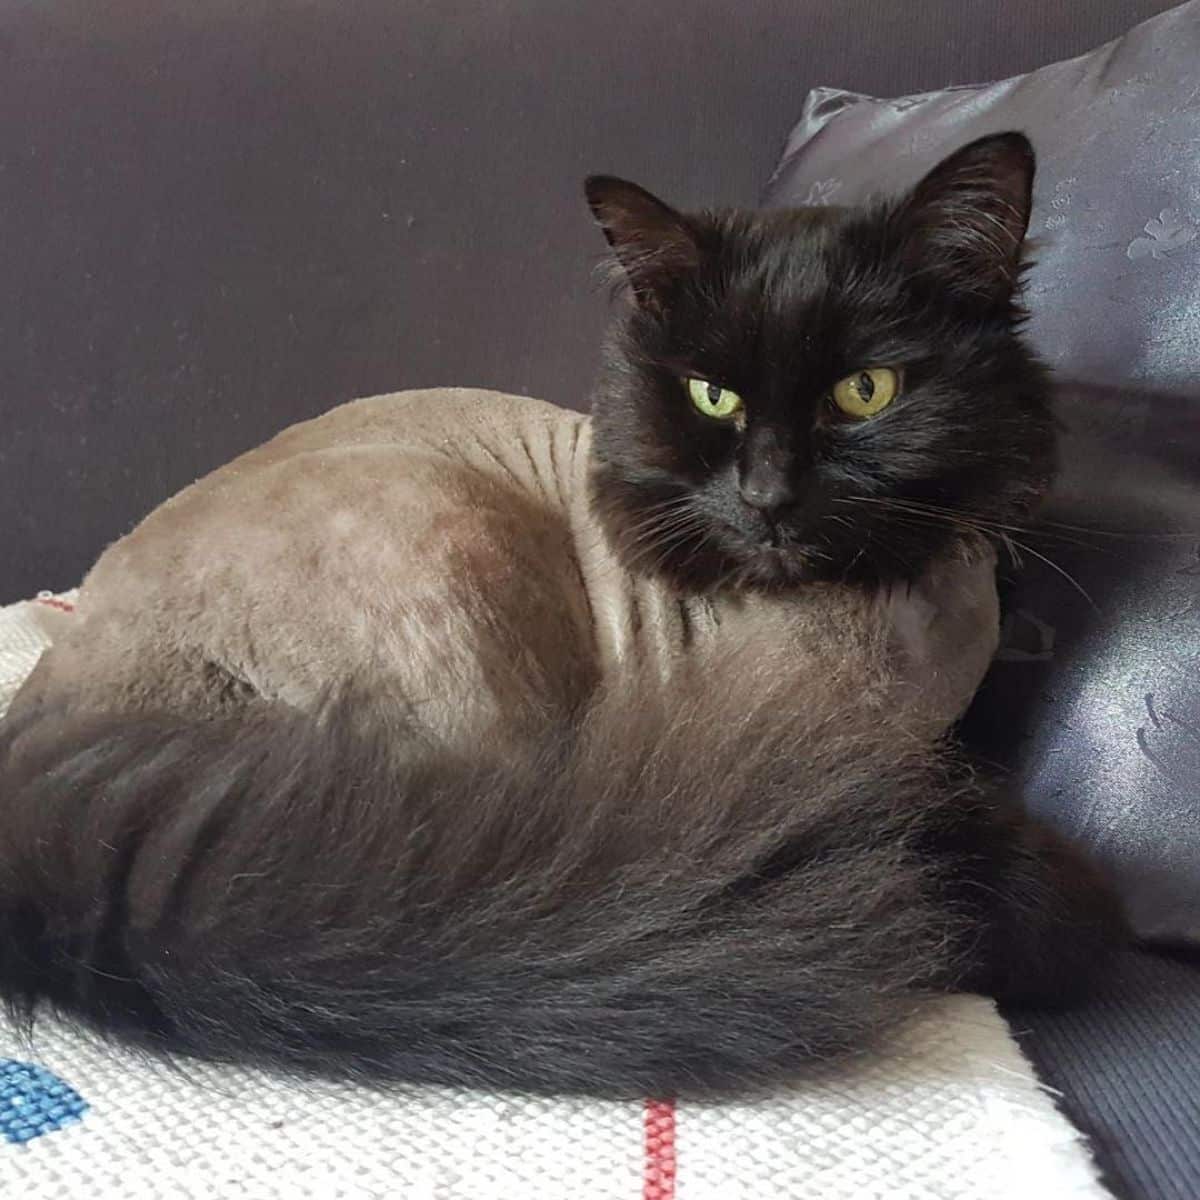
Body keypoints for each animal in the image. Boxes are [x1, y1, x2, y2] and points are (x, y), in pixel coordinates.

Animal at [0, 131, 1113, 1099]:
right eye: (712, 397)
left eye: (864, 391)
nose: (767, 497)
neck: (894, 622)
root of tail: (45, 772)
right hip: (455, 554)